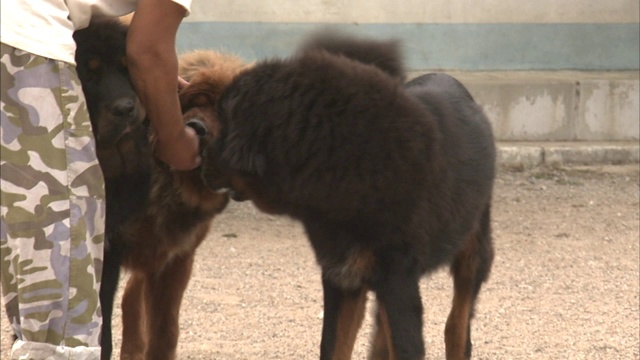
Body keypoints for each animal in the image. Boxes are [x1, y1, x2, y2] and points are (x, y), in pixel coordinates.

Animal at [192, 31, 498, 360]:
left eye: (223, 120)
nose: (198, 142)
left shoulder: (396, 280)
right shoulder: (343, 277)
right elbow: (334, 345)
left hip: (473, 251)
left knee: (457, 326)